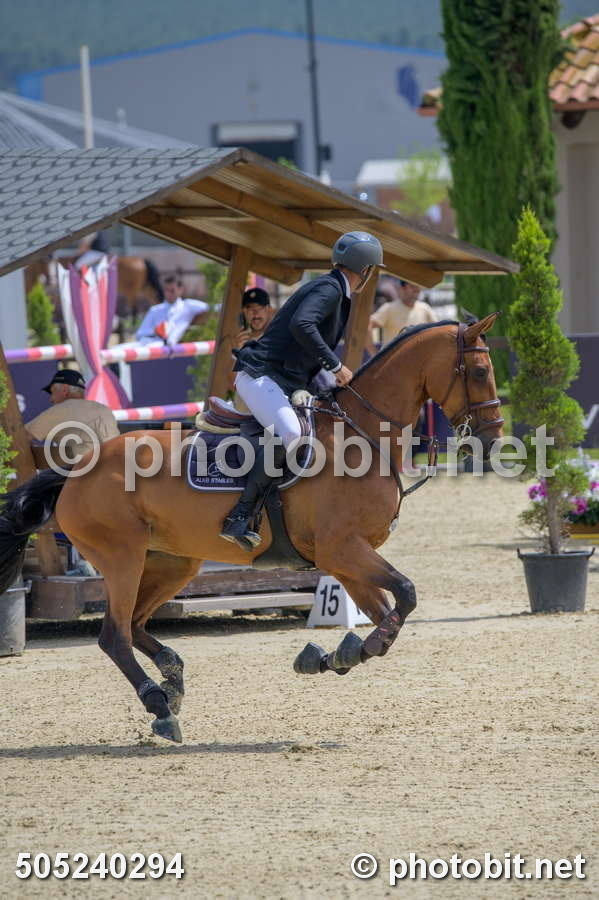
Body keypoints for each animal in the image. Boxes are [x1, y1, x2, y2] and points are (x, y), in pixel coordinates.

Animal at [0, 314, 503, 744]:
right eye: (480, 372)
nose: (493, 439)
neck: (362, 437)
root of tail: (75, 471)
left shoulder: (348, 559)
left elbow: (386, 614)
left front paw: (329, 657)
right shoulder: (342, 551)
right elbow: (406, 593)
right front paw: (347, 649)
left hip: (172, 563)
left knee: (138, 625)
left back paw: (172, 677)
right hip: (123, 560)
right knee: (115, 635)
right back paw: (159, 704)